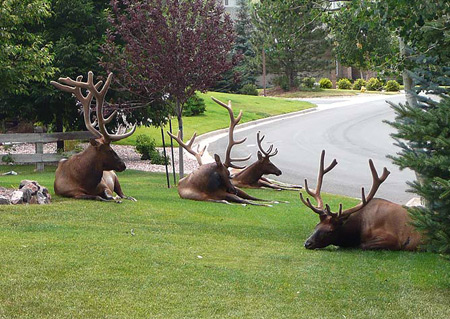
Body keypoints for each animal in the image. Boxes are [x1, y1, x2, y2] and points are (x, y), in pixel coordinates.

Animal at [50, 72, 135, 202]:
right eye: (110, 150)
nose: (123, 165)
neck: (86, 182)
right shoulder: (73, 192)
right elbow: (96, 197)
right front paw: (106, 198)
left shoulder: (105, 186)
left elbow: (109, 195)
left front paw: (114, 198)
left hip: (115, 178)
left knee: (123, 194)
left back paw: (130, 198)